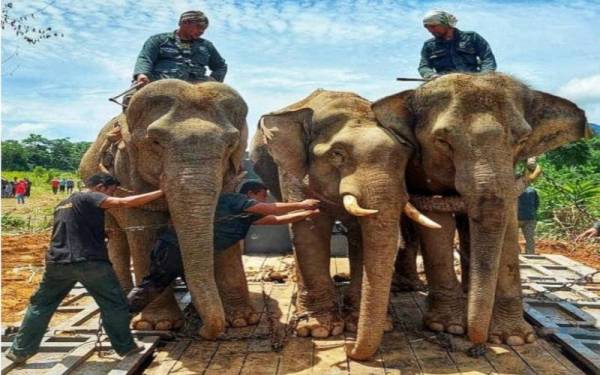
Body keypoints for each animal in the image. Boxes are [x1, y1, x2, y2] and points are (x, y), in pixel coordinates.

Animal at [78, 80, 255, 340]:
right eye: (155, 142)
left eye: (231, 144)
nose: (202, 330)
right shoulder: (128, 171)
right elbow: (145, 231)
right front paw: (157, 325)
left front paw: (243, 320)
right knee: (117, 240)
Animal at [248, 89, 440, 362]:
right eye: (337, 154)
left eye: (404, 158)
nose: (350, 351)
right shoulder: (292, 170)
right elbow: (309, 228)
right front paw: (317, 330)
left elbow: (360, 235)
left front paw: (361, 324)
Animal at [372, 72, 588, 346]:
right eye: (442, 141)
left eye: (522, 140)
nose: (476, 338)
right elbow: (438, 225)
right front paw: (448, 327)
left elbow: (508, 223)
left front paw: (513, 338)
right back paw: (410, 287)